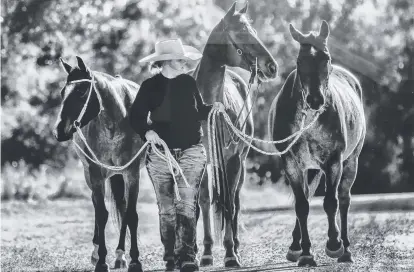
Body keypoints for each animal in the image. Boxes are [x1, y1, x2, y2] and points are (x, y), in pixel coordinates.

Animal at [53, 56, 145, 272]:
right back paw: (97, 253)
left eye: (81, 91)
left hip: (118, 174)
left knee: (122, 207)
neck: (114, 124)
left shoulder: (131, 172)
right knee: (97, 206)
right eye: (62, 93)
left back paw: (120, 256)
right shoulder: (95, 173)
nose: (59, 131)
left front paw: (134, 260)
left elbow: (131, 215)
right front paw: (101, 260)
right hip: (92, 175)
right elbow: (101, 214)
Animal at [193, 1, 280, 266]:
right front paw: (207, 252)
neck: (209, 106)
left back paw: (237, 247)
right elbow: (204, 201)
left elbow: (230, 204)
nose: (272, 67)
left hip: (240, 161)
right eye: (241, 32)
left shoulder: (232, 159)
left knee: (236, 201)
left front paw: (231, 253)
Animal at [268, 20, 366, 266]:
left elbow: (331, 202)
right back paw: (295, 246)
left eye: (327, 58)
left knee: (344, 199)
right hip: (309, 167)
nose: (315, 100)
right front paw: (305, 253)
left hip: (350, 161)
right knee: (307, 194)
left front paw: (333, 245)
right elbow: (301, 205)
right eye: (299, 61)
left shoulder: (333, 161)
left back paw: (346, 250)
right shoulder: (291, 162)